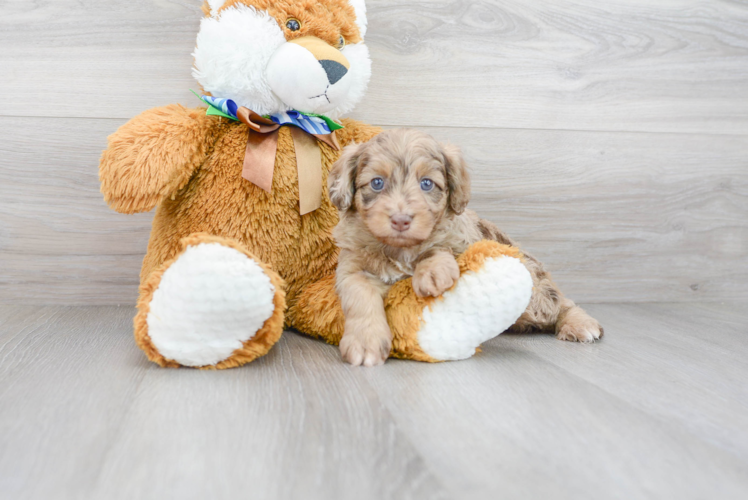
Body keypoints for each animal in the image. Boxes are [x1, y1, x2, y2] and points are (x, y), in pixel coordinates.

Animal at [328, 129, 600, 366]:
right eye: (377, 183)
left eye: (427, 184)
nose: (401, 220)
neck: (399, 249)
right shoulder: (352, 268)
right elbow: (359, 295)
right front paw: (366, 342)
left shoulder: (459, 239)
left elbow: (438, 246)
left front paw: (431, 270)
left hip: (535, 296)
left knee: (561, 303)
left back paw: (579, 324)